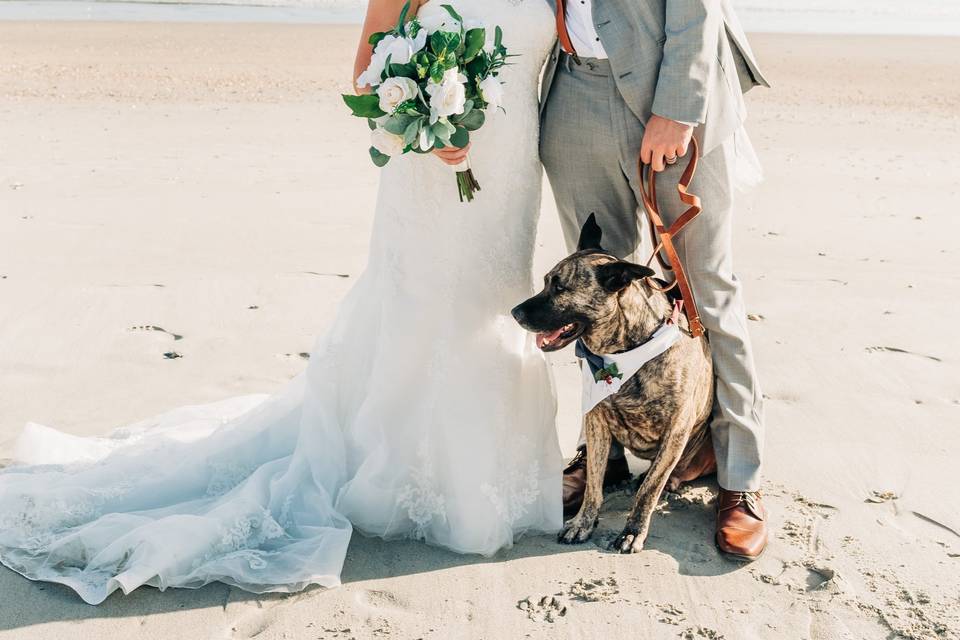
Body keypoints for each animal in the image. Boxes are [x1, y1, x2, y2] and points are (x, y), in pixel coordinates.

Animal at [512, 216, 716, 556]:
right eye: (545, 281)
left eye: (560, 287)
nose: (515, 313)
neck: (624, 352)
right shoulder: (595, 420)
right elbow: (594, 481)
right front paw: (583, 522)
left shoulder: (676, 431)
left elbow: (649, 489)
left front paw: (633, 531)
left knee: (672, 473)